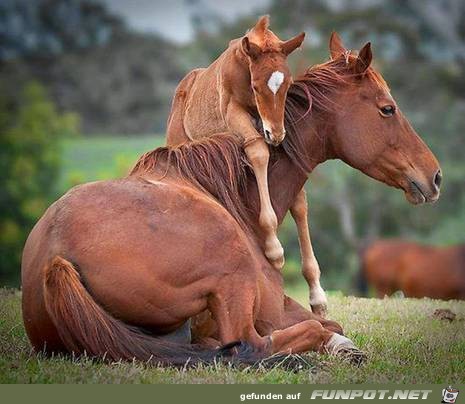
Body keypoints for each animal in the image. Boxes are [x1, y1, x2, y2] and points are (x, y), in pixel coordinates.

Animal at [166, 14, 304, 270]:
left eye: (288, 84)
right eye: (256, 86)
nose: (276, 134)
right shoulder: (233, 112)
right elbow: (258, 151)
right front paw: (274, 249)